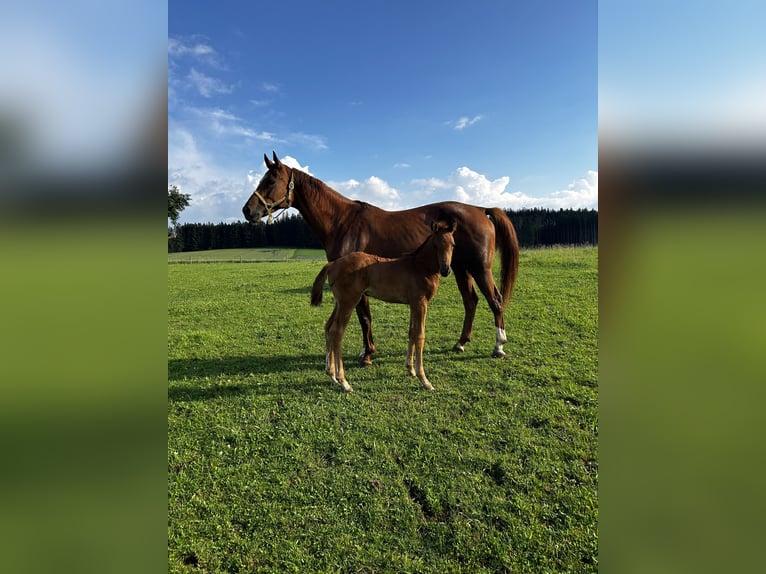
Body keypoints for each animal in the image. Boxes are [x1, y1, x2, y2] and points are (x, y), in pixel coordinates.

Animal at [243, 152, 519, 365]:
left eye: (271, 180)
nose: (247, 210)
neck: (342, 221)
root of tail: (480, 210)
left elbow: (364, 317)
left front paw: (367, 355)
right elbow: (364, 317)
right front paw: (368, 351)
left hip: (479, 268)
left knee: (495, 301)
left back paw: (499, 346)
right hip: (459, 268)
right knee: (471, 301)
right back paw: (461, 343)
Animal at [310, 220, 456, 392]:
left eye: (453, 245)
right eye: (435, 245)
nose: (446, 270)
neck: (420, 267)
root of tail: (333, 264)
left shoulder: (413, 304)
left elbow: (412, 332)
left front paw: (410, 369)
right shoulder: (421, 303)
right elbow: (420, 336)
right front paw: (425, 380)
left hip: (340, 303)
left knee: (328, 327)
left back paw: (331, 374)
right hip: (349, 302)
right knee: (337, 332)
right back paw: (344, 381)